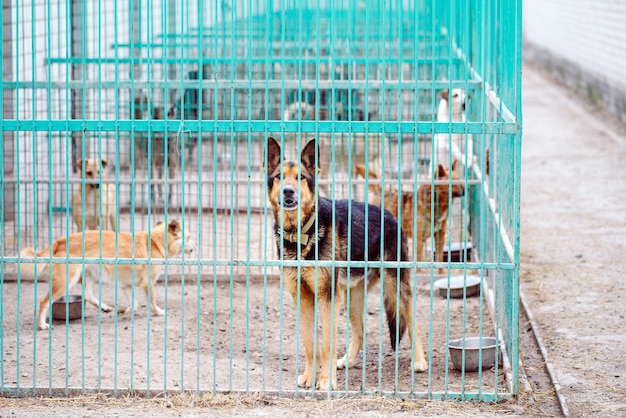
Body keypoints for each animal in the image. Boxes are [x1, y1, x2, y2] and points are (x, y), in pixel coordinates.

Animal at [20, 220, 193, 332]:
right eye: (188, 237)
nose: (194, 247)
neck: (155, 242)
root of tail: (59, 241)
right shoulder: (147, 284)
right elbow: (152, 301)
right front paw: (159, 312)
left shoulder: (126, 285)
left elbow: (135, 304)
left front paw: (125, 311)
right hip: (66, 281)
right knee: (44, 302)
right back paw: (42, 325)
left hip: (90, 276)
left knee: (88, 295)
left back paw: (105, 307)